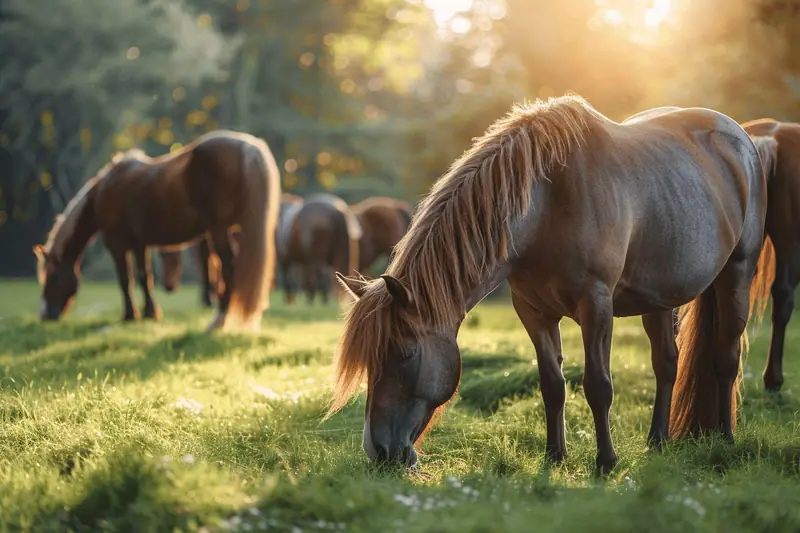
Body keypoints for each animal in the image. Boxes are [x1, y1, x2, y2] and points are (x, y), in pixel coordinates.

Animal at [33, 130, 281, 332]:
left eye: (52, 277)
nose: (46, 315)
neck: (103, 192)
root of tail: (248, 147)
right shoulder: (139, 244)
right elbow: (145, 277)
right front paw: (150, 313)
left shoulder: (116, 243)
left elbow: (125, 279)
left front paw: (129, 316)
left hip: (219, 231)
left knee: (229, 270)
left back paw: (218, 321)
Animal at [327, 95, 773, 474]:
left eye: (404, 354)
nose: (378, 451)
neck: (547, 204)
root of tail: (740, 137)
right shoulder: (533, 312)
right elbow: (552, 386)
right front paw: (554, 456)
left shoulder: (596, 306)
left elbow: (597, 386)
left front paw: (605, 462)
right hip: (659, 299)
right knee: (667, 364)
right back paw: (657, 441)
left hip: (736, 275)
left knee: (726, 357)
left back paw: (725, 438)